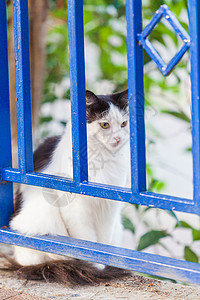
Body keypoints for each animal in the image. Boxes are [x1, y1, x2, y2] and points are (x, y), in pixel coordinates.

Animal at [5, 88, 131, 284]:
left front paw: (103, 264)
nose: (118, 139)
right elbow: (87, 242)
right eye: (104, 125)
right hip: (38, 223)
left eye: (124, 124)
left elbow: (103, 242)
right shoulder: (76, 211)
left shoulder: (108, 209)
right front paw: (97, 267)